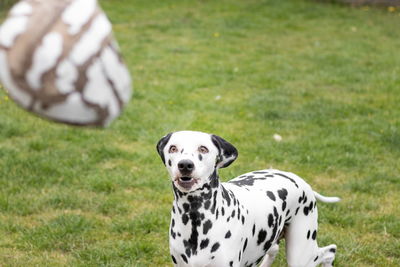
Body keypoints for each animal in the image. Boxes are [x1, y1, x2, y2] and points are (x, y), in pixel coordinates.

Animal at [157, 131, 340, 266]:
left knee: (330, 251)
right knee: (274, 250)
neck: (196, 217)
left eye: (203, 149)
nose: (185, 165)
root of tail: (299, 179)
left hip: (301, 255)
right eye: (173, 148)